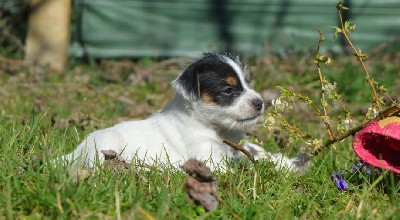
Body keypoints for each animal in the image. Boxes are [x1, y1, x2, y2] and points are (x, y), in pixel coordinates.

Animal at [60, 52, 310, 172]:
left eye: (248, 82)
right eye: (228, 90)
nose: (259, 103)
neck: (218, 130)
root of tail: (75, 153)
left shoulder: (241, 146)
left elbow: (260, 152)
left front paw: (290, 164)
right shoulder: (207, 157)